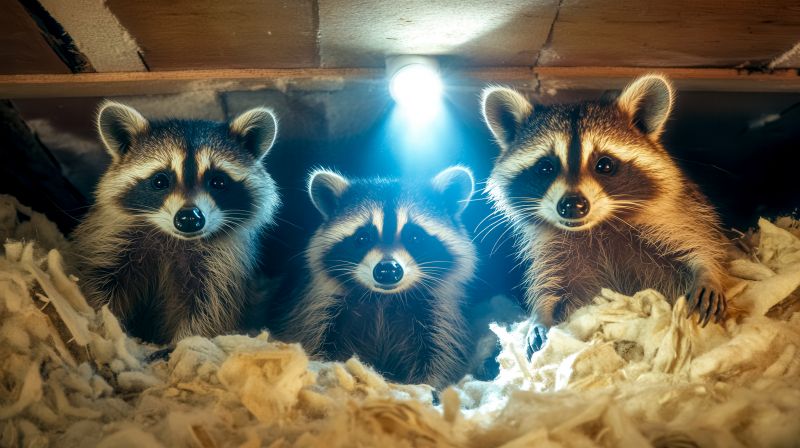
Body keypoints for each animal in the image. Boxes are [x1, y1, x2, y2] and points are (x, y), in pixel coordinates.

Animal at [72, 101, 280, 344]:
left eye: (218, 182)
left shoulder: (221, 265)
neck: (173, 239)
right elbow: (100, 284)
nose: (190, 218)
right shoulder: (113, 242)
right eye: (160, 181)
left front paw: (183, 343)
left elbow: (209, 310)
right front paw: (106, 324)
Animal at [278, 166, 477, 387]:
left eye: (415, 237)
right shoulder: (321, 310)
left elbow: (441, 355)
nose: (388, 270)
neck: (384, 298)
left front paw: (429, 387)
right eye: (363, 237)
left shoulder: (437, 315)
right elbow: (313, 341)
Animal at [480, 74, 728, 354]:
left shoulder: (675, 215)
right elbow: (548, 285)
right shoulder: (553, 252)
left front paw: (707, 272)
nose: (572, 205)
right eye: (545, 167)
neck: (597, 227)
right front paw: (540, 315)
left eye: (605, 165)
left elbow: (701, 240)